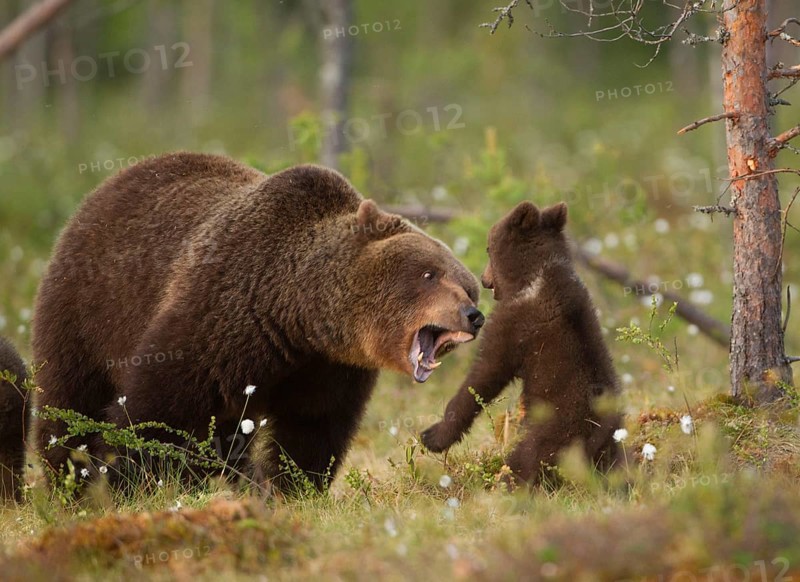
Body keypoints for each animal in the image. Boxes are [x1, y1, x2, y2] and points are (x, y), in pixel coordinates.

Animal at [30, 152, 484, 491]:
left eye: (469, 286)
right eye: (429, 274)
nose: (474, 315)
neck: (295, 315)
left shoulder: (329, 366)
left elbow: (313, 427)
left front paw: (291, 486)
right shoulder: (218, 316)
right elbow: (157, 410)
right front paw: (122, 481)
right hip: (86, 309)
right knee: (70, 397)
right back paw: (68, 478)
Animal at [421, 201, 622, 486]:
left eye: (488, 247)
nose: (484, 279)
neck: (536, 275)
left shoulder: (515, 324)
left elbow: (486, 372)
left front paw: (433, 435)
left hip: (549, 435)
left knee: (524, 462)